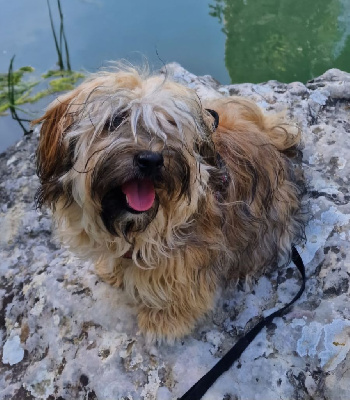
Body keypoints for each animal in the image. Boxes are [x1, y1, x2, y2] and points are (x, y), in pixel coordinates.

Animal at [34, 65, 304, 344]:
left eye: (170, 123)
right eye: (115, 120)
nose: (151, 160)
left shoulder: (190, 257)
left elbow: (178, 289)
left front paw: (163, 321)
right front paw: (113, 271)